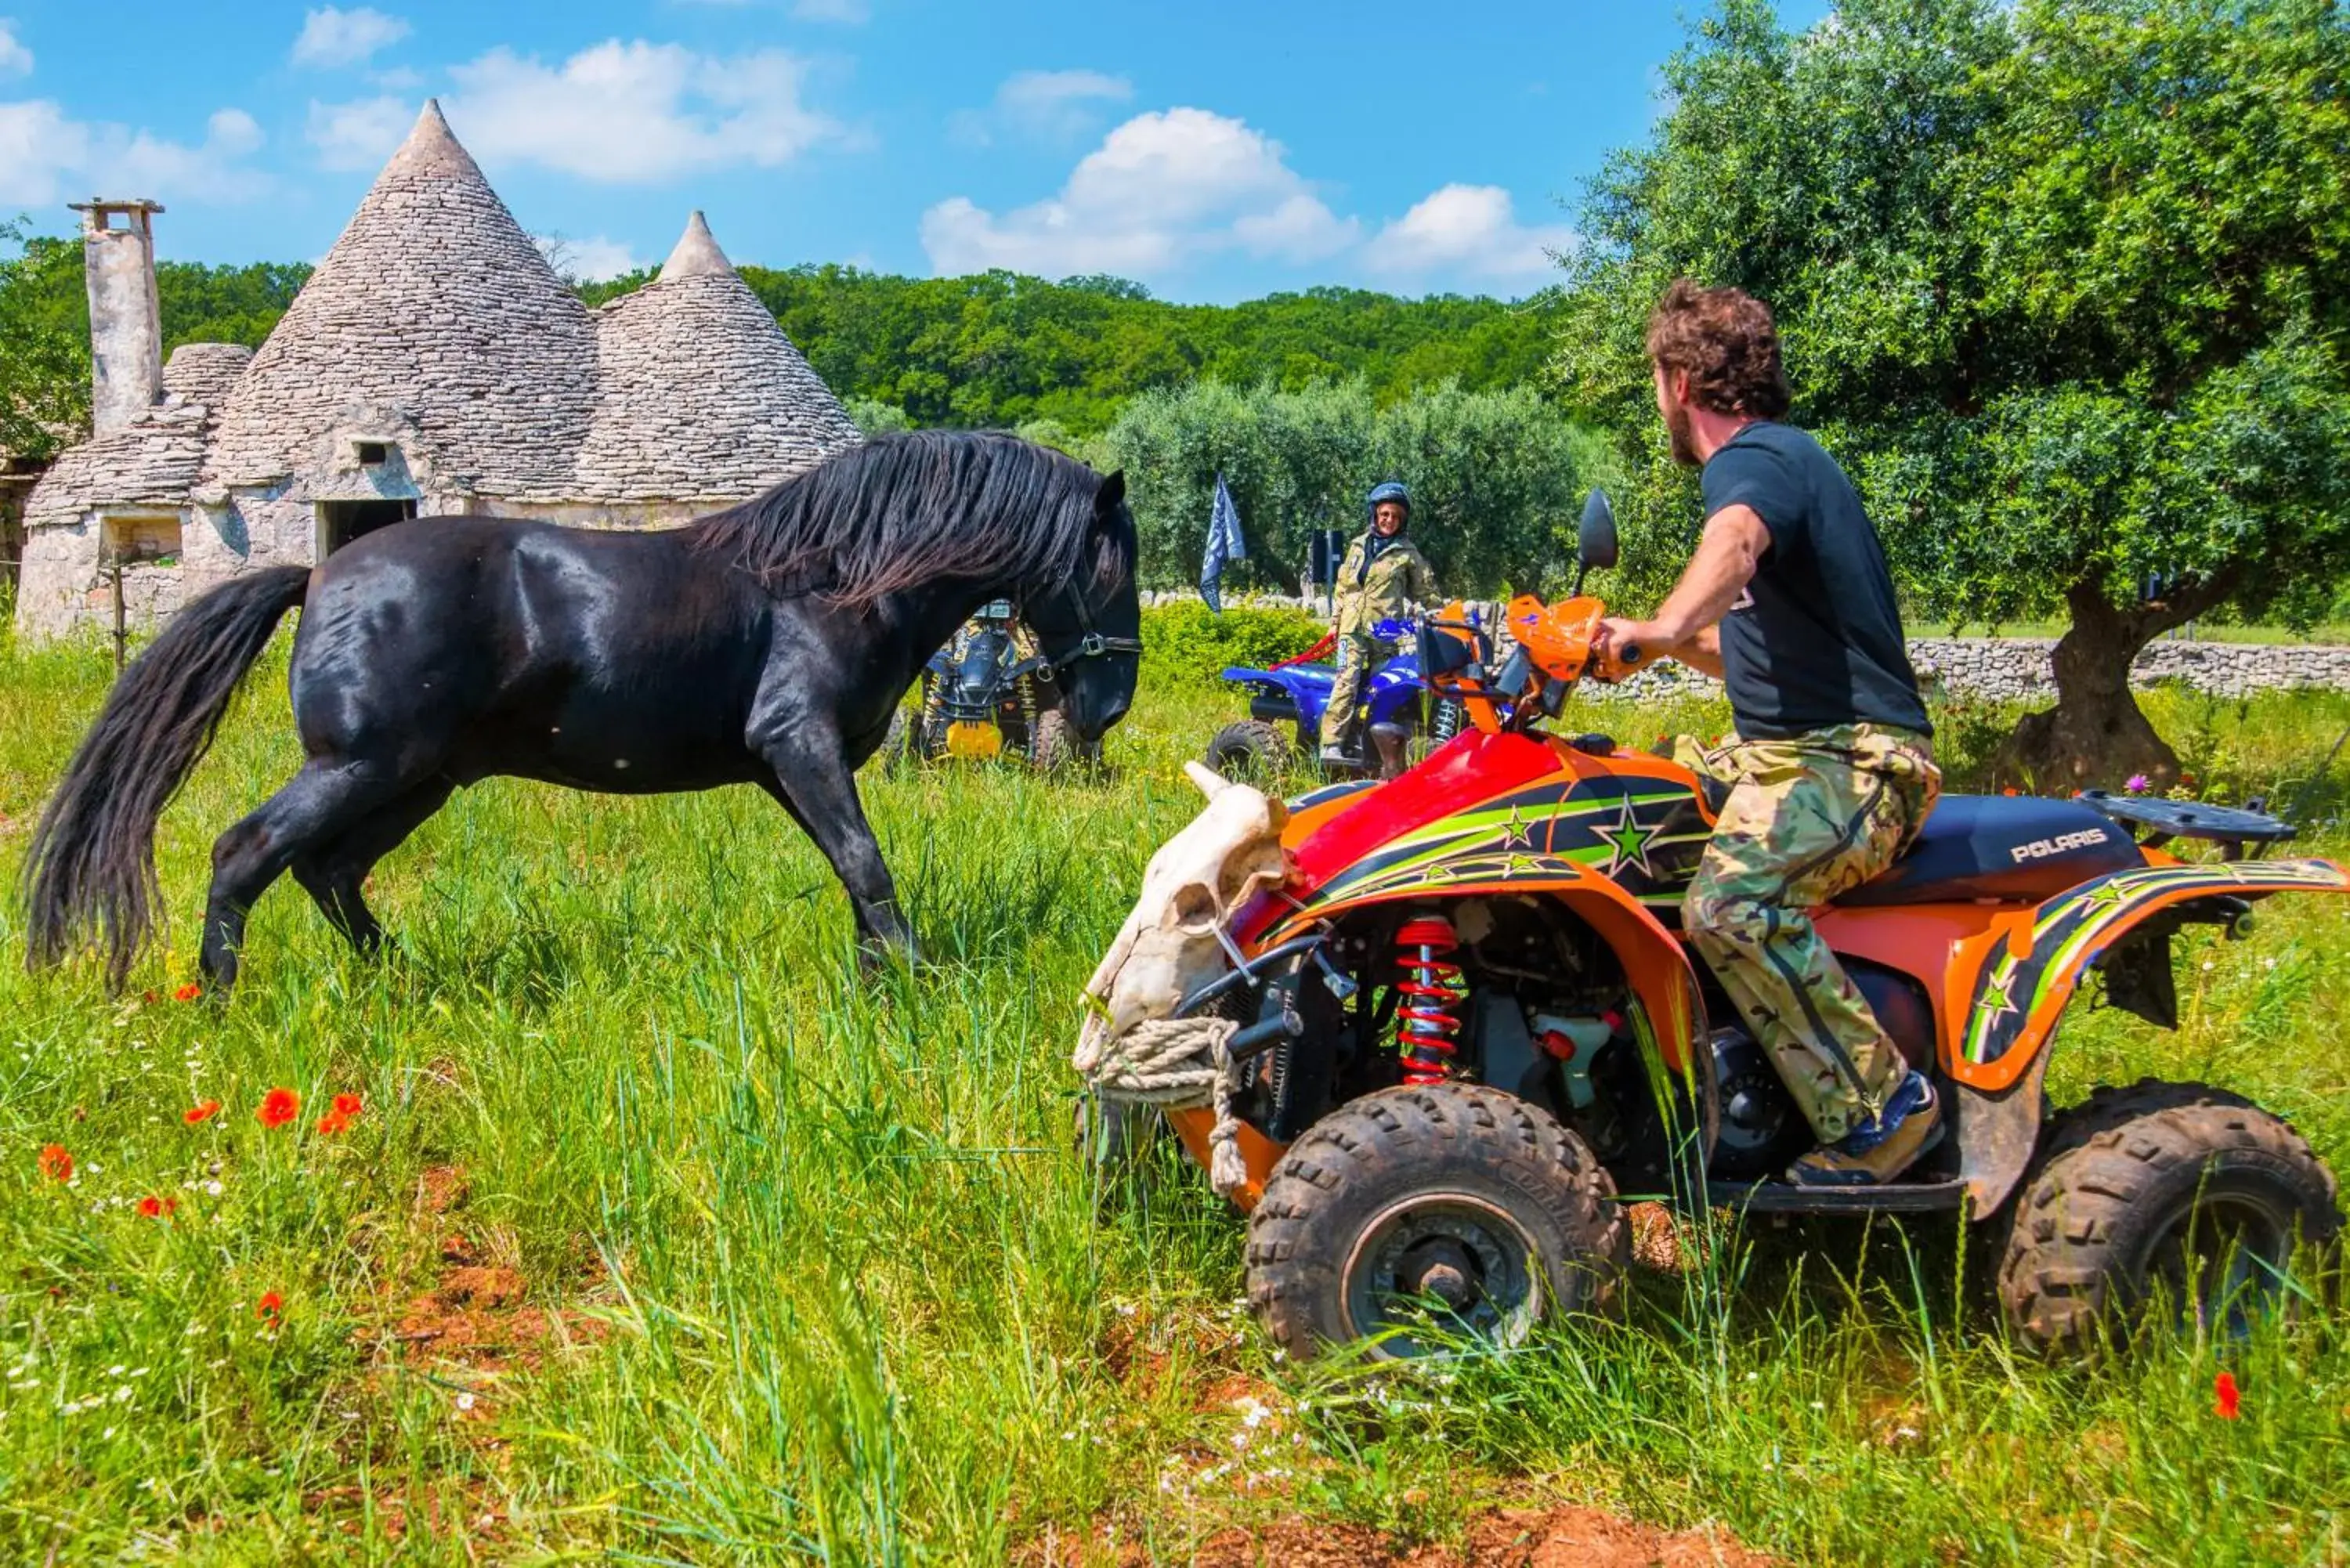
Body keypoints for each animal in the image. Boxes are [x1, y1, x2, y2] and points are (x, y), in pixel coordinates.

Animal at [23, 430, 1142, 992]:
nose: (1107, 707)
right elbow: (867, 863)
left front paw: (880, 980)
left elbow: (849, 870)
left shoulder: (795, 767)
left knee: (329, 870)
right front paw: (917, 985)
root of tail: (319, 571)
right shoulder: (798, 743)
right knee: (246, 853)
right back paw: (221, 997)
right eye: (1108, 569)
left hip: (418, 779)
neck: (834, 580)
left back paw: (406, 981)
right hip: (360, 766)